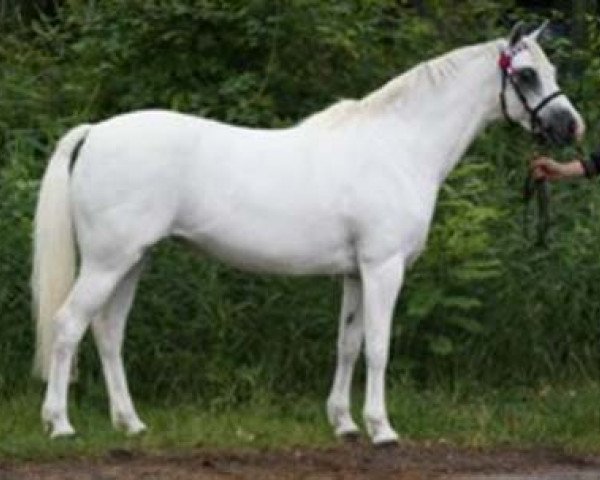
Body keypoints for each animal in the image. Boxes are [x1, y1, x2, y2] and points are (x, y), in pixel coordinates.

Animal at [31, 21, 580, 442]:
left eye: (551, 71)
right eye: (527, 74)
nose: (570, 127)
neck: (398, 147)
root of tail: (96, 132)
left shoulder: (356, 273)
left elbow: (348, 344)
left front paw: (345, 424)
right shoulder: (383, 269)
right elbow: (379, 346)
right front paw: (382, 429)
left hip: (132, 260)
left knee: (108, 333)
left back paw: (130, 423)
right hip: (108, 262)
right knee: (68, 325)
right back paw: (60, 424)